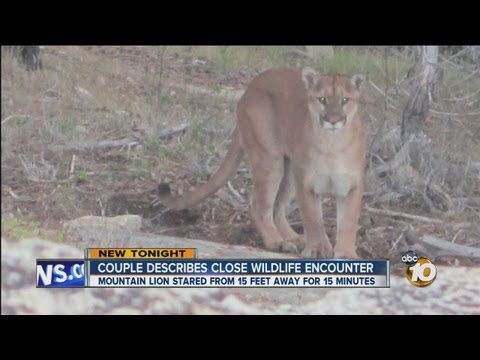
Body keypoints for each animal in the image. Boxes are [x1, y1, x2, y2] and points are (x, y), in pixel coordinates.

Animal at [156, 68, 366, 258]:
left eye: (345, 100)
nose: (333, 120)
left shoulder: (351, 186)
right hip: (269, 159)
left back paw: (294, 239)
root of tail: (249, 89)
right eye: (322, 99)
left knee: (277, 208)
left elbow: (348, 222)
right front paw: (316, 249)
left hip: (289, 169)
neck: (333, 145)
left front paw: (346, 254)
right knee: (259, 205)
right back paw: (277, 242)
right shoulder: (306, 183)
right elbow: (313, 219)